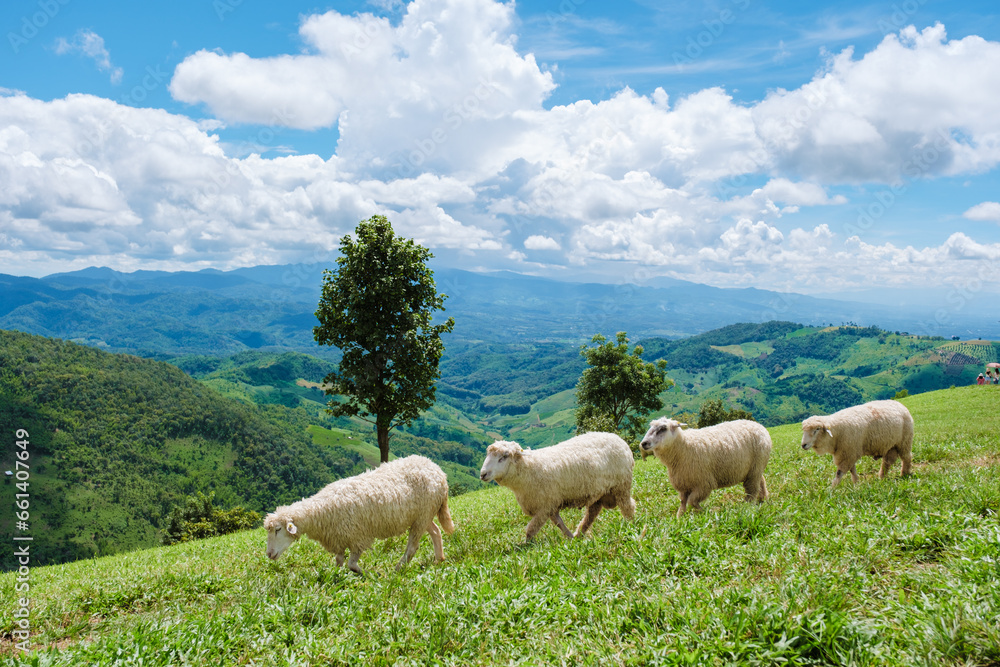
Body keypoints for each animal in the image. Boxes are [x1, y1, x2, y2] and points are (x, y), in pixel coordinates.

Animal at [264, 456, 456, 576]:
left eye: (278, 529)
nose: (269, 554)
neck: (320, 512)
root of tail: (437, 470)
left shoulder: (357, 537)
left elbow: (352, 564)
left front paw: (371, 574)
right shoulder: (339, 538)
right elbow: (339, 562)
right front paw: (336, 577)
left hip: (423, 514)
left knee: (412, 547)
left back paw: (397, 568)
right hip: (422, 515)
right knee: (436, 531)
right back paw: (439, 559)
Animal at [480, 434, 636, 544]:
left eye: (504, 457)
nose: (483, 474)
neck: (528, 470)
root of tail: (618, 439)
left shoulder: (545, 506)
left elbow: (531, 529)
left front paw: (527, 545)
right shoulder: (550, 504)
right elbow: (559, 523)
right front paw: (570, 538)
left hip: (621, 485)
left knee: (628, 506)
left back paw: (631, 524)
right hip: (599, 492)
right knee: (592, 512)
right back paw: (579, 534)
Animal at [640, 420, 772, 520]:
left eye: (663, 428)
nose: (643, 443)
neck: (683, 448)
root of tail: (759, 425)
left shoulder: (704, 484)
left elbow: (692, 501)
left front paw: (703, 511)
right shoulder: (684, 484)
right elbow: (683, 502)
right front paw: (680, 517)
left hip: (756, 467)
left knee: (752, 489)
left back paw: (748, 505)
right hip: (755, 468)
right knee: (761, 481)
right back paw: (763, 499)